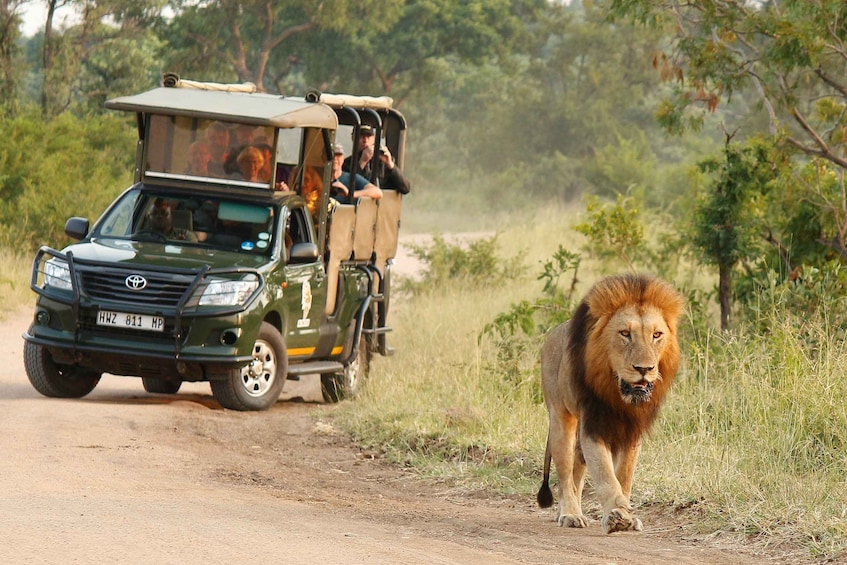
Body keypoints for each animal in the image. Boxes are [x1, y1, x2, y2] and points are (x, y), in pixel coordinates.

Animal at [540, 274, 684, 532]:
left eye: (656, 335)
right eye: (625, 333)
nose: (644, 369)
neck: (619, 396)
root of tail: (553, 333)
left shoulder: (633, 430)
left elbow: (624, 475)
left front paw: (627, 515)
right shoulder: (594, 425)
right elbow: (605, 474)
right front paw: (617, 514)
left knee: (577, 473)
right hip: (561, 419)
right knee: (565, 473)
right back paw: (570, 514)